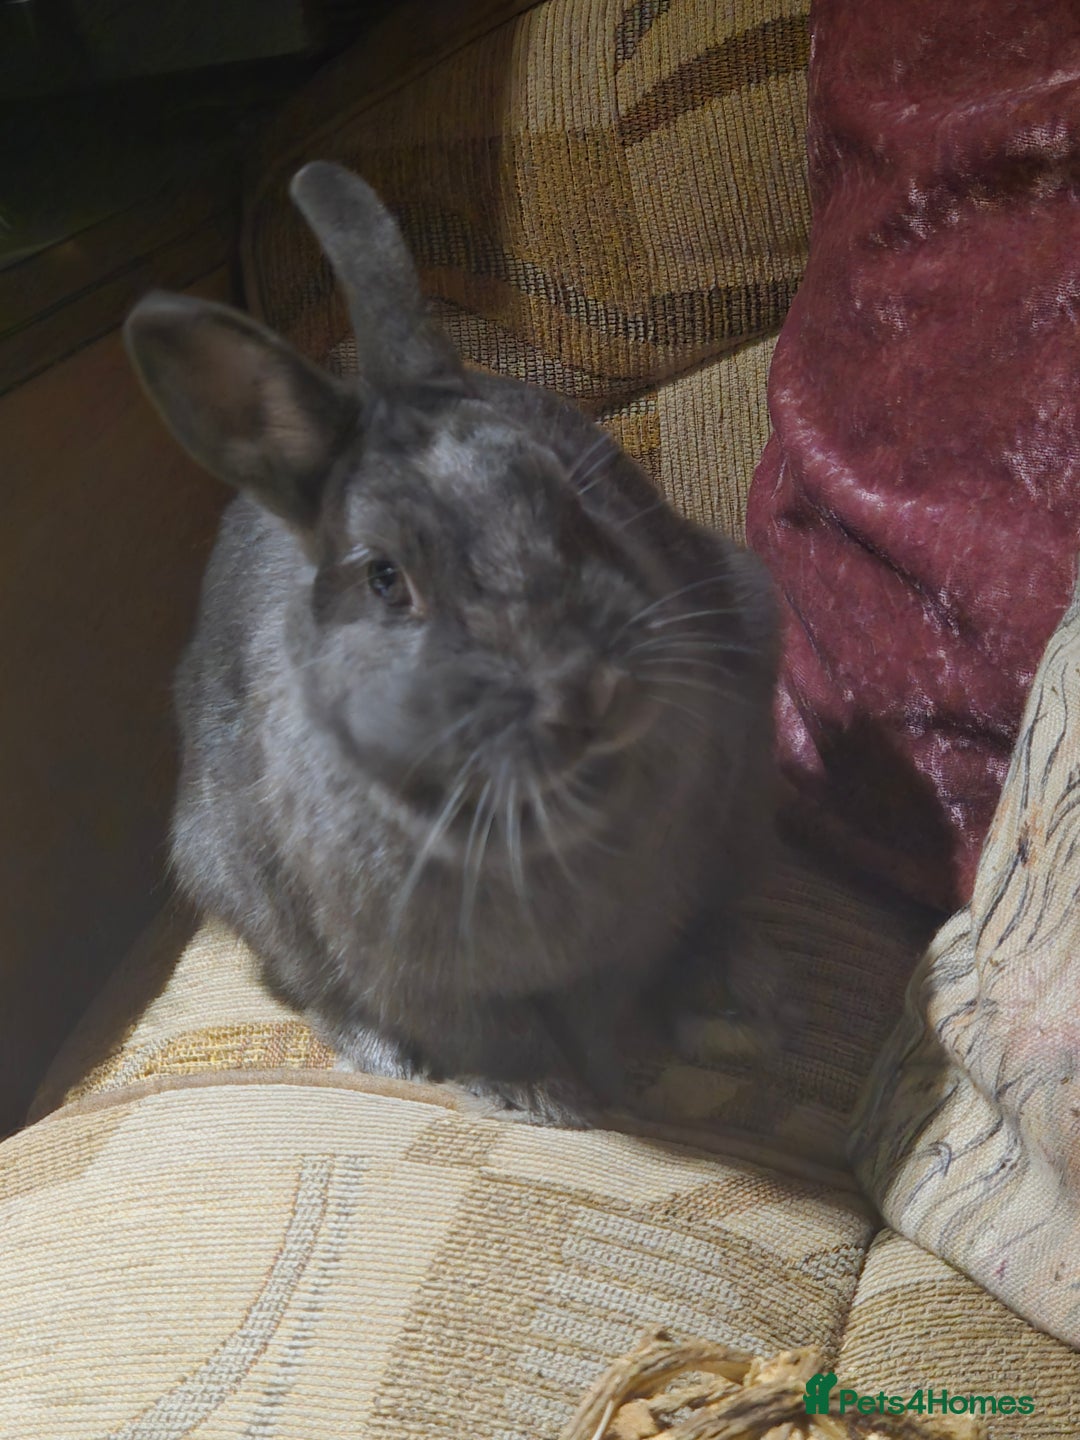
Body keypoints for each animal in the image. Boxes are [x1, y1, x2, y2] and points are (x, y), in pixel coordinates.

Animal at [123, 161, 780, 1126]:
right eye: (385, 579)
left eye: (568, 494)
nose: (588, 689)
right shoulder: (412, 973)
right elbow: (484, 1033)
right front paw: (537, 1095)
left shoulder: (634, 926)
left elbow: (601, 1009)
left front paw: (597, 1090)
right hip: (230, 869)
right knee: (306, 985)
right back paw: (383, 1054)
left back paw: (727, 1002)